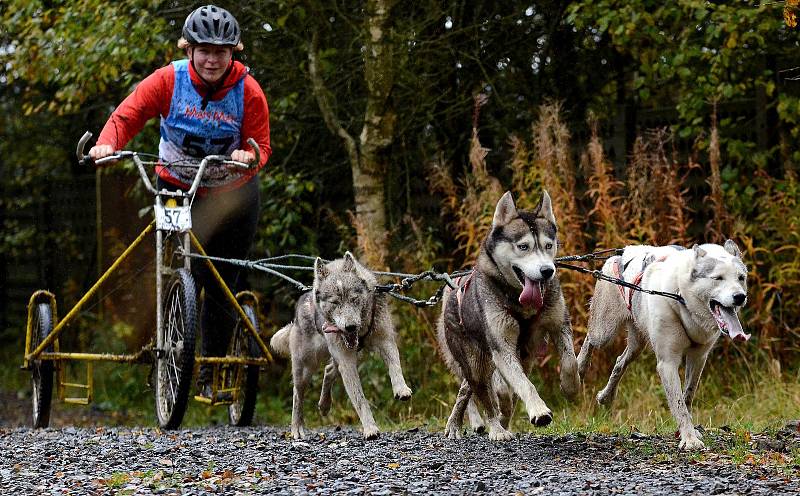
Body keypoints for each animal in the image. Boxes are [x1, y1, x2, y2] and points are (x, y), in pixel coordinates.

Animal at [272, 254, 416, 440]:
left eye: (354, 299)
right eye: (335, 302)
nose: (351, 327)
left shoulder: (385, 341)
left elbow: (395, 366)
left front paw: (401, 389)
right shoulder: (347, 363)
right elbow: (360, 399)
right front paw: (370, 429)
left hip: (348, 356)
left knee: (328, 371)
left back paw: (324, 405)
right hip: (306, 368)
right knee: (298, 395)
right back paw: (297, 428)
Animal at [438, 192, 580, 440]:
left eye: (548, 245)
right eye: (523, 246)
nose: (547, 271)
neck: (519, 301)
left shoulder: (558, 323)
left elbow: (570, 360)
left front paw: (570, 387)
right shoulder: (502, 347)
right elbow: (524, 384)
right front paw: (539, 411)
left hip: (519, 358)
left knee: (479, 391)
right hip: (475, 362)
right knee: (483, 396)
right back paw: (494, 428)